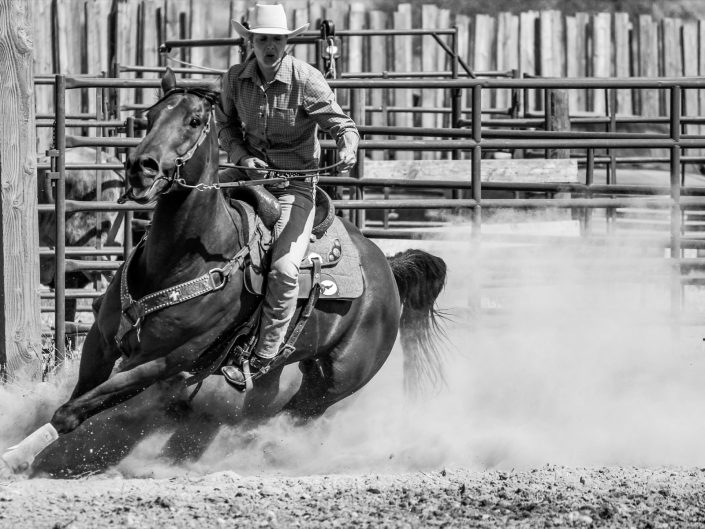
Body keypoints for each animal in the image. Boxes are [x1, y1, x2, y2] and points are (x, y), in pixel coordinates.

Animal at [1, 68, 446, 472]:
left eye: (194, 120)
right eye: (150, 115)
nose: (141, 167)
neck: (179, 260)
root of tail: (385, 265)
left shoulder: (161, 361)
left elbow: (74, 410)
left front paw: (16, 457)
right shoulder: (100, 341)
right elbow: (76, 398)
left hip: (335, 381)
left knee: (289, 414)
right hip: (273, 371)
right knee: (255, 406)